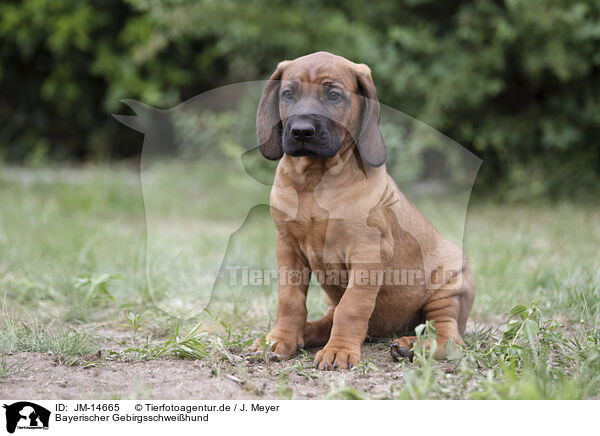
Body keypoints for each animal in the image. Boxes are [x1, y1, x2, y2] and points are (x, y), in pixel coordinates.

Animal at [248, 52, 474, 370]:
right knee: (330, 317)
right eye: (288, 94)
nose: (302, 131)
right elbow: (290, 300)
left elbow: (352, 307)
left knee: (448, 336)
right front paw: (280, 339)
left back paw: (413, 346)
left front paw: (338, 351)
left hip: (449, 286)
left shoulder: (368, 253)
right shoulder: (288, 247)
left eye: (334, 95)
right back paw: (307, 333)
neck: (315, 180)